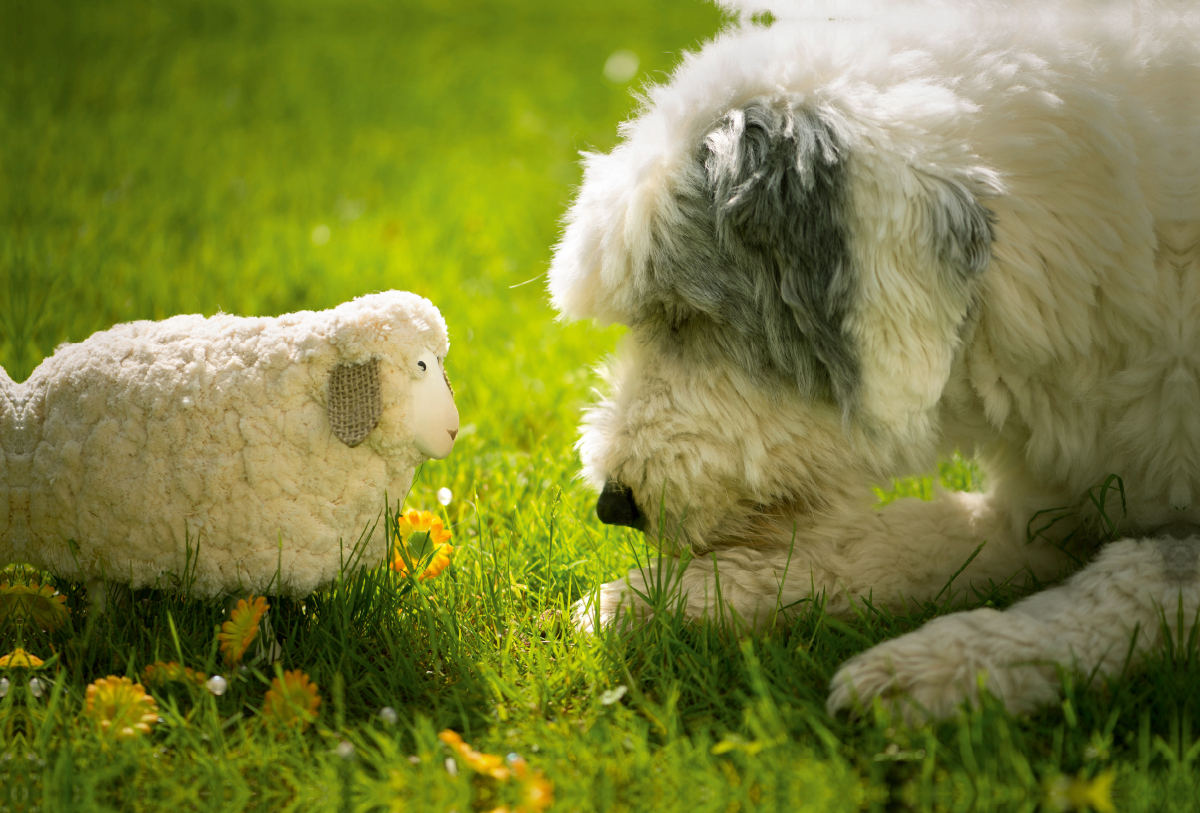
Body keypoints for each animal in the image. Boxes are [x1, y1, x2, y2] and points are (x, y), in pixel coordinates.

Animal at [549, 0, 1200, 724]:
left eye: (683, 315)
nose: (612, 504)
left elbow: (1128, 582)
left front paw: (936, 667)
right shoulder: (1039, 516)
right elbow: (885, 537)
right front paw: (660, 595)